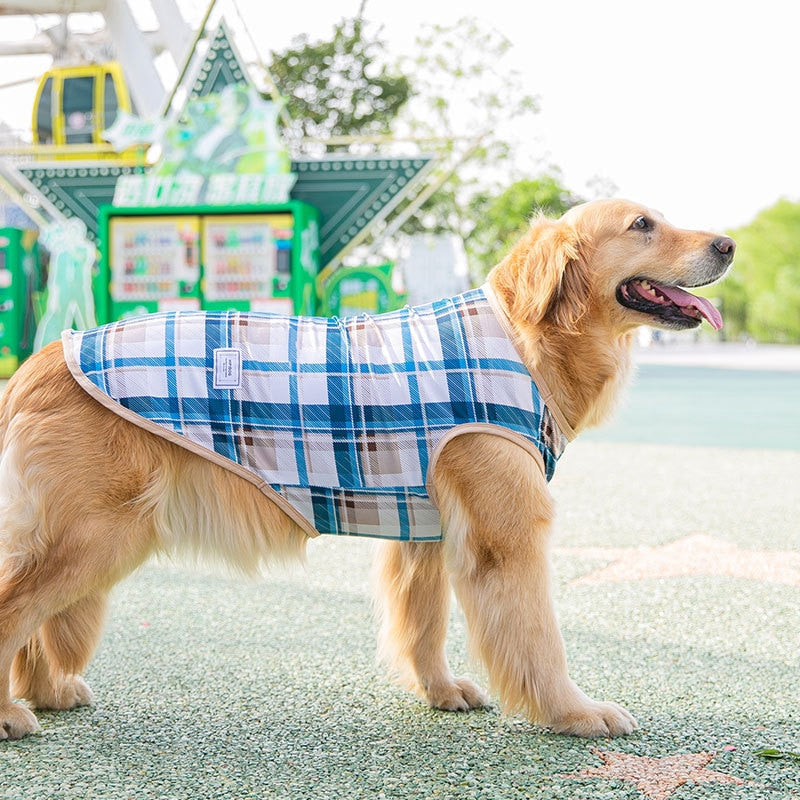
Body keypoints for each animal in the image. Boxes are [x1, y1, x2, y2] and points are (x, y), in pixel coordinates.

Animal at [0, 198, 736, 736]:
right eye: (642, 224)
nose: (729, 244)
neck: (524, 339)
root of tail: (40, 357)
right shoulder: (507, 539)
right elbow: (538, 638)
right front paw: (574, 713)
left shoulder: (426, 535)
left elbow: (424, 626)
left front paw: (440, 691)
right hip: (96, 535)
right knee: (15, 609)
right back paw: (13, 713)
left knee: (35, 629)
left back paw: (48, 692)